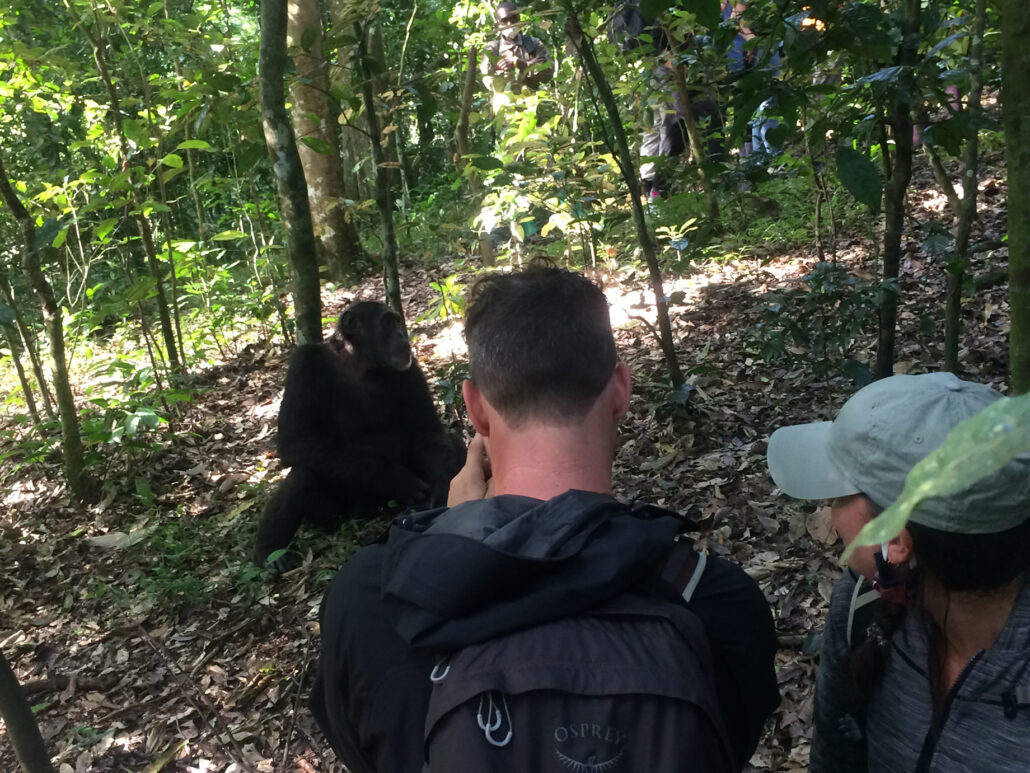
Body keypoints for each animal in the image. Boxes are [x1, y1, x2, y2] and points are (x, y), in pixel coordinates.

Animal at [255, 300, 465, 568]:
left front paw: (441, 488)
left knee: (455, 443)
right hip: (333, 513)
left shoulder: (411, 368)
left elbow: (427, 431)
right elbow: (297, 441)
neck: (358, 362)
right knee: (302, 474)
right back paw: (270, 552)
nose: (401, 335)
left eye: (396, 321)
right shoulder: (304, 364)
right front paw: (397, 479)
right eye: (387, 323)